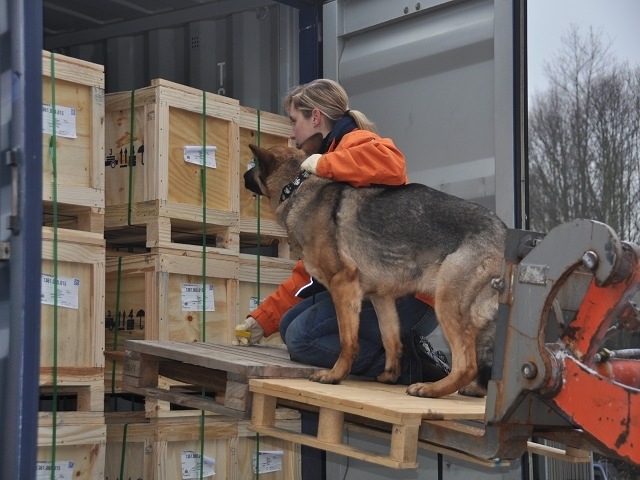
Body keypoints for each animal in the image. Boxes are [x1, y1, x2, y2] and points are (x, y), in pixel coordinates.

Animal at [244, 134, 504, 398]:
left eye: (254, 164)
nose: (244, 176)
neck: (296, 185)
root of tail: (505, 233)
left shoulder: (343, 285)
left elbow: (348, 341)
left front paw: (335, 375)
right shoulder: (382, 298)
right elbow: (391, 340)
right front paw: (390, 375)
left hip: (448, 304)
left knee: (467, 365)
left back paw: (430, 388)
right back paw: (469, 388)